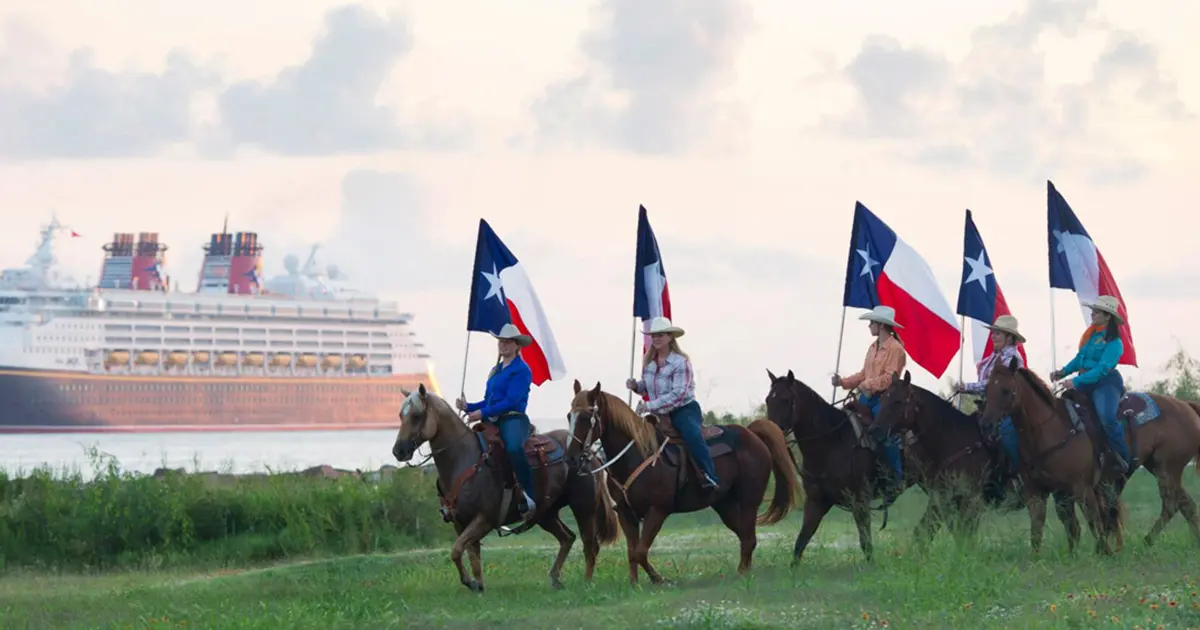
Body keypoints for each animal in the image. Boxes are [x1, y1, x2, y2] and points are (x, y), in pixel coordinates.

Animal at [391, 381, 619, 592]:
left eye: (417, 416)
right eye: (401, 416)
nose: (398, 451)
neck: (464, 460)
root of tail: (588, 453)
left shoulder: (483, 520)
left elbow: (456, 551)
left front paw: (470, 583)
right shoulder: (460, 523)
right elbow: (471, 556)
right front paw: (478, 585)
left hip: (584, 508)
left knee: (590, 544)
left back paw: (586, 582)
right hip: (546, 514)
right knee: (567, 538)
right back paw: (555, 579)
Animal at [561, 379, 796, 585]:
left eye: (586, 418)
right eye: (569, 416)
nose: (570, 458)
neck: (637, 453)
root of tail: (752, 433)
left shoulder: (658, 510)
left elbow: (640, 552)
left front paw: (660, 580)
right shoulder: (626, 513)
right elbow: (632, 552)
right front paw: (634, 584)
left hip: (749, 500)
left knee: (749, 537)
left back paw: (742, 575)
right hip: (724, 503)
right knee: (744, 536)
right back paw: (743, 572)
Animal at [758, 364, 916, 561]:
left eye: (785, 399)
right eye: (768, 400)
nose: (769, 434)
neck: (832, 442)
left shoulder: (860, 501)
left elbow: (866, 544)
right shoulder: (816, 501)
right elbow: (801, 542)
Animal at [979, 355, 1200, 552]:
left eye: (1006, 390)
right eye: (987, 390)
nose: (987, 424)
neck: (1053, 427)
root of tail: (1186, 406)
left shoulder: (1082, 487)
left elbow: (1093, 521)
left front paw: (1104, 552)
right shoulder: (1038, 492)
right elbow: (1041, 528)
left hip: (1168, 468)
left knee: (1170, 504)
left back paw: (1147, 541)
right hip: (1157, 467)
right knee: (1185, 503)